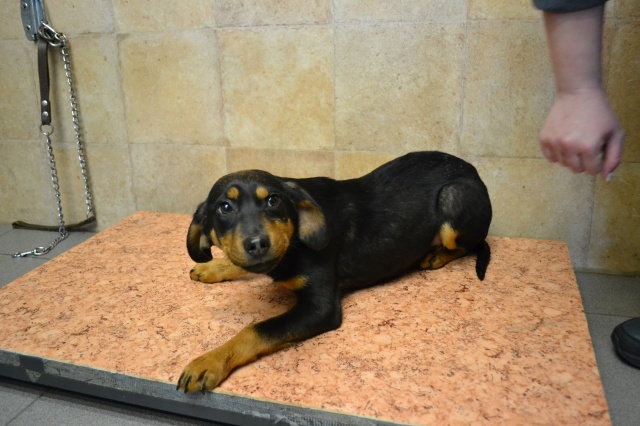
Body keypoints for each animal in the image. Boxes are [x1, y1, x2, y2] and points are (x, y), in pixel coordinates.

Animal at [177, 151, 492, 393]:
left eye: (273, 201)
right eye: (224, 207)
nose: (257, 244)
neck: (296, 241)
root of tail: (474, 172)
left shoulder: (321, 307)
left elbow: (256, 329)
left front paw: (209, 362)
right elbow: (240, 262)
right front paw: (212, 267)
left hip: (454, 198)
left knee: (467, 244)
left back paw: (435, 255)